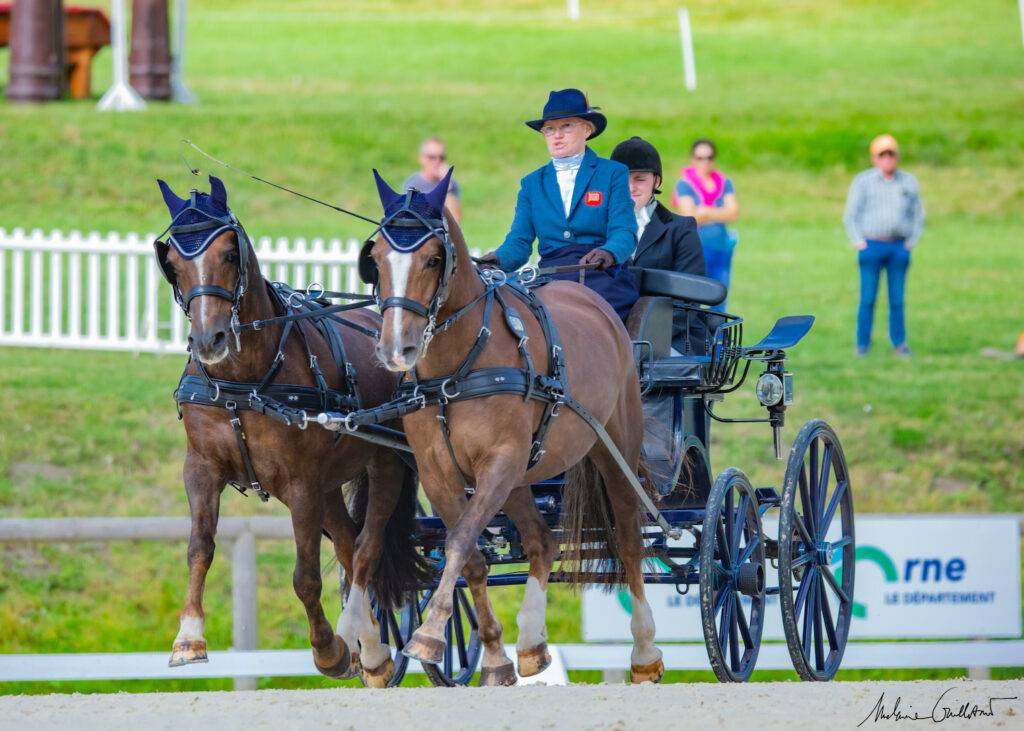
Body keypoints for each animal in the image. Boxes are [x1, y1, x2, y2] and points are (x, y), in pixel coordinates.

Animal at [154, 176, 428, 687]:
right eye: (174, 263)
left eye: (229, 253)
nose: (208, 340)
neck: (244, 381)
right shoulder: (201, 468)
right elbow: (199, 549)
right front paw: (188, 639)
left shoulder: (300, 483)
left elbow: (305, 577)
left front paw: (329, 651)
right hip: (330, 486)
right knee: (348, 545)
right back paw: (369, 646)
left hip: (383, 466)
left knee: (366, 550)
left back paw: (366, 648)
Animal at [359, 169, 663, 685]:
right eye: (376, 257)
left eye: (434, 258)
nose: (396, 349)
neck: (456, 369)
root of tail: (588, 294)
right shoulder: (441, 473)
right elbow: (472, 556)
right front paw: (495, 656)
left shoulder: (499, 461)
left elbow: (461, 539)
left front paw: (428, 635)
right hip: (522, 473)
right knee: (542, 540)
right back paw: (532, 644)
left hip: (614, 447)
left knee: (627, 539)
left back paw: (644, 651)